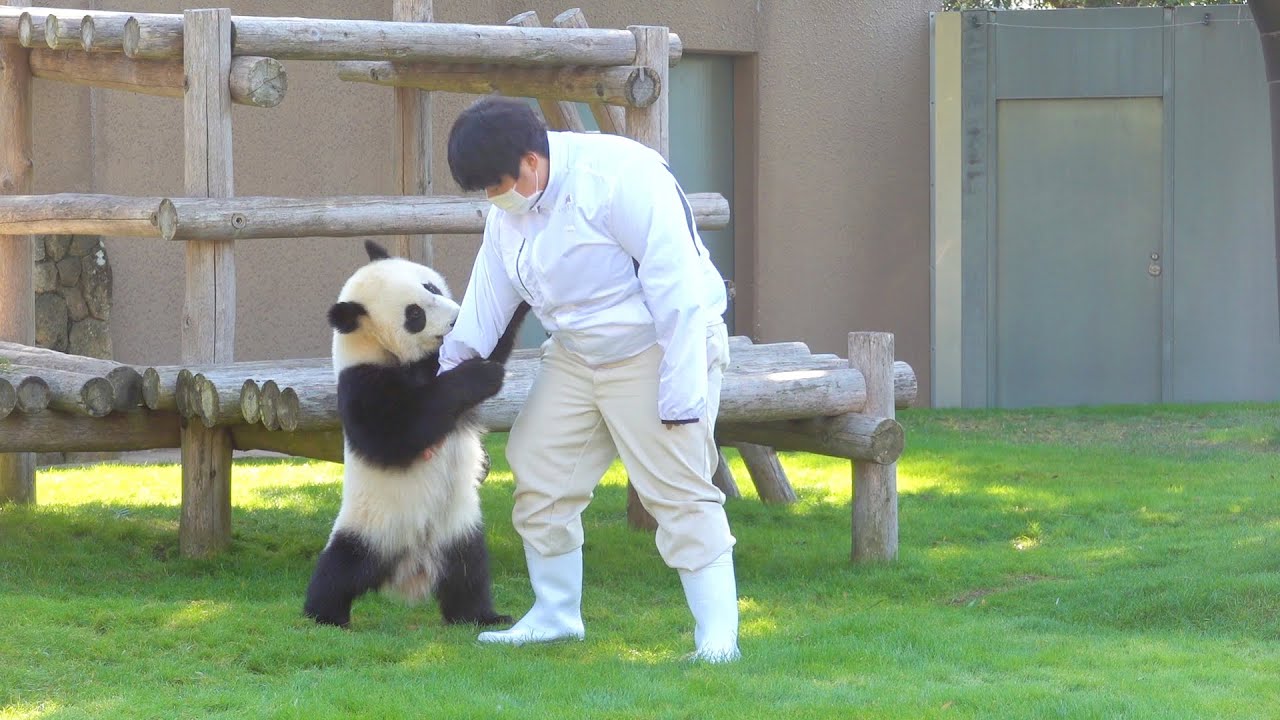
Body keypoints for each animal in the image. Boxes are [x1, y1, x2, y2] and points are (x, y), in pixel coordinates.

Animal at [303, 239, 529, 629]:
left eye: (431, 287)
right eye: (414, 315)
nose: (455, 319)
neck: (379, 347)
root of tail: (411, 567)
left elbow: (491, 336)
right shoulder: (361, 383)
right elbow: (395, 435)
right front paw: (481, 374)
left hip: (458, 530)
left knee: (468, 574)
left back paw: (482, 616)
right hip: (372, 527)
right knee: (339, 569)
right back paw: (324, 614)